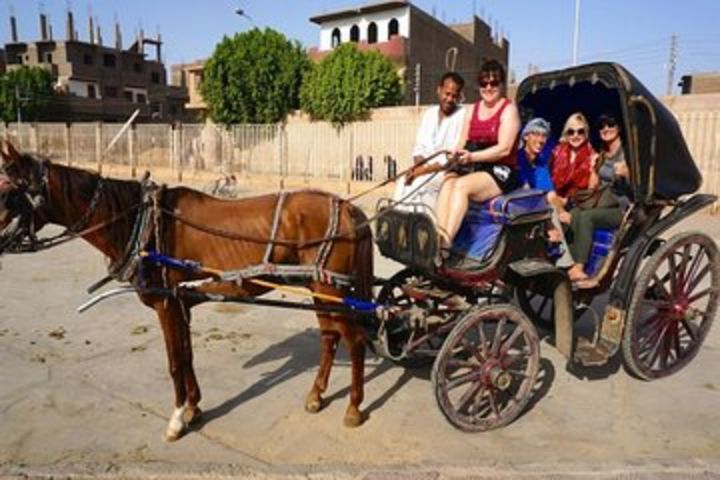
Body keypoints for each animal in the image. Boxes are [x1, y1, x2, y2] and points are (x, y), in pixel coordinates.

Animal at [0, 141, 372, 440]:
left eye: (7, 193)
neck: (143, 223)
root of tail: (348, 208)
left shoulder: (166, 304)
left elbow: (175, 362)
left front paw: (177, 418)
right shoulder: (181, 304)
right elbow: (187, 356)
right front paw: (193, 408)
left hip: (329, 288)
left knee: (354, 340)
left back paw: (353, 408)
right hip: (320, 289)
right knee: (329, 337)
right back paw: (317, 395)